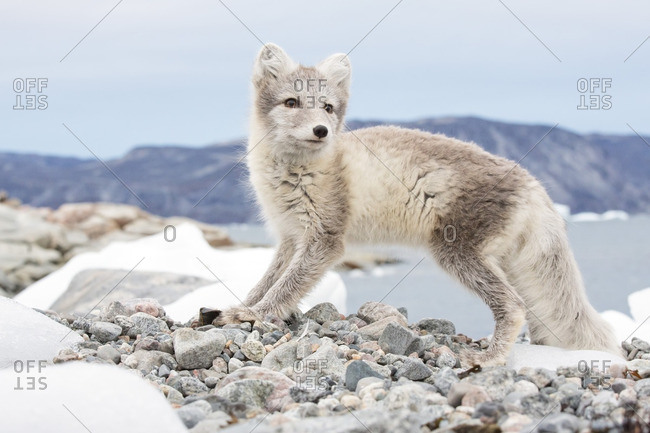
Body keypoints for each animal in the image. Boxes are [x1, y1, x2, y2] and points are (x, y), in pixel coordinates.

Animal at [215, 43, 620, 364]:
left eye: (328, 108)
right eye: (291, 102)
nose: (321, 131)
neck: (294, 173)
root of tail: (535, 185)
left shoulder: (325, 240)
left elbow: (285, 287)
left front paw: (254, 314)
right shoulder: (289, 236)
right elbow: (268, 280)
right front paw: (241, 306)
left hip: (456, 252)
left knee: (514, 306)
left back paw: (488, 358)